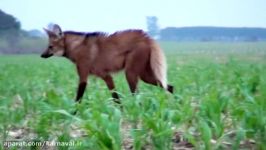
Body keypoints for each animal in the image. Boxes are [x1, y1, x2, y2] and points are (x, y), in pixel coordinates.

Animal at [40, 24, 174, 104]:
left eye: (50, 46)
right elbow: (115, 97)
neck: (75, 47)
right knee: (169, 86)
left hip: (130, 73)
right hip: (144, 75)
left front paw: (73, 113)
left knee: (137, 94)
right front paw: (121, 112)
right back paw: (174, 104)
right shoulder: (106, 76)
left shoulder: (86, 75)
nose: (42, 55)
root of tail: (146, 37)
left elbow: (79, 97)